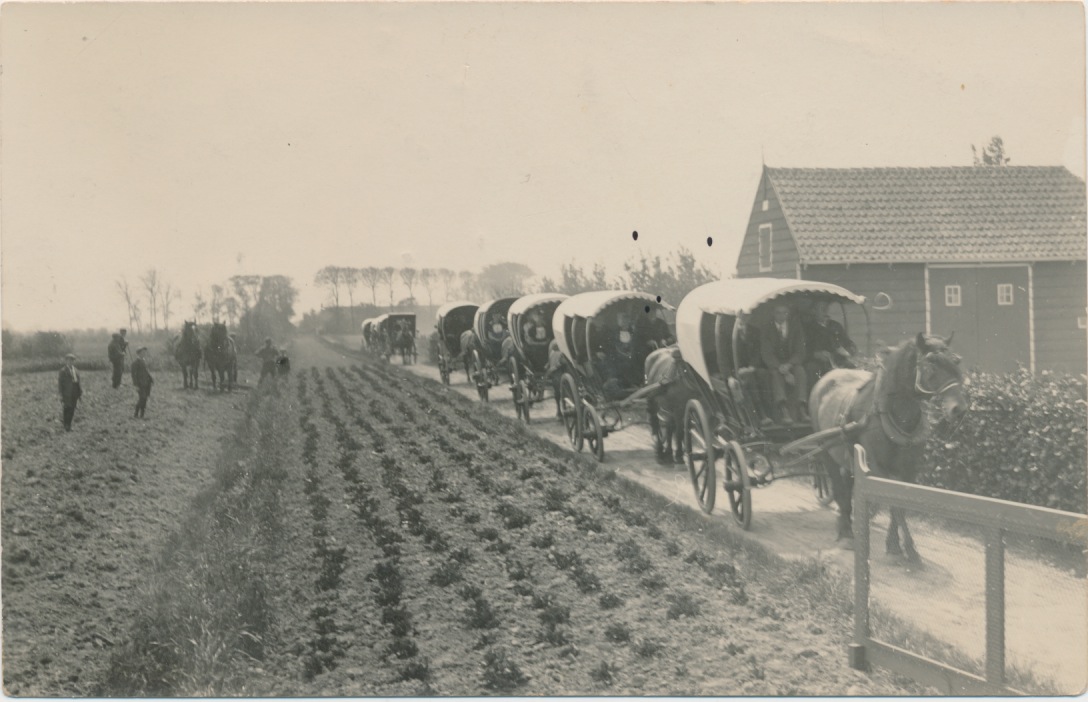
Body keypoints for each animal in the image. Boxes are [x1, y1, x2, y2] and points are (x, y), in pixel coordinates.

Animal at [809, 332, 969, 563]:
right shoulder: (876, 468)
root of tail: (830, 373)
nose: (959, 409)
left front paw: (896, 546)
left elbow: (899, 503)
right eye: (931, 363)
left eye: (956, 361)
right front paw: (908, 549)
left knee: (846, 487)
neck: (894, 413)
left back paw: (845, 522)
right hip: (825, 451)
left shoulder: (909, 471)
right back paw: (847, 532)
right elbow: (893, 504)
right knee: (838, 487)